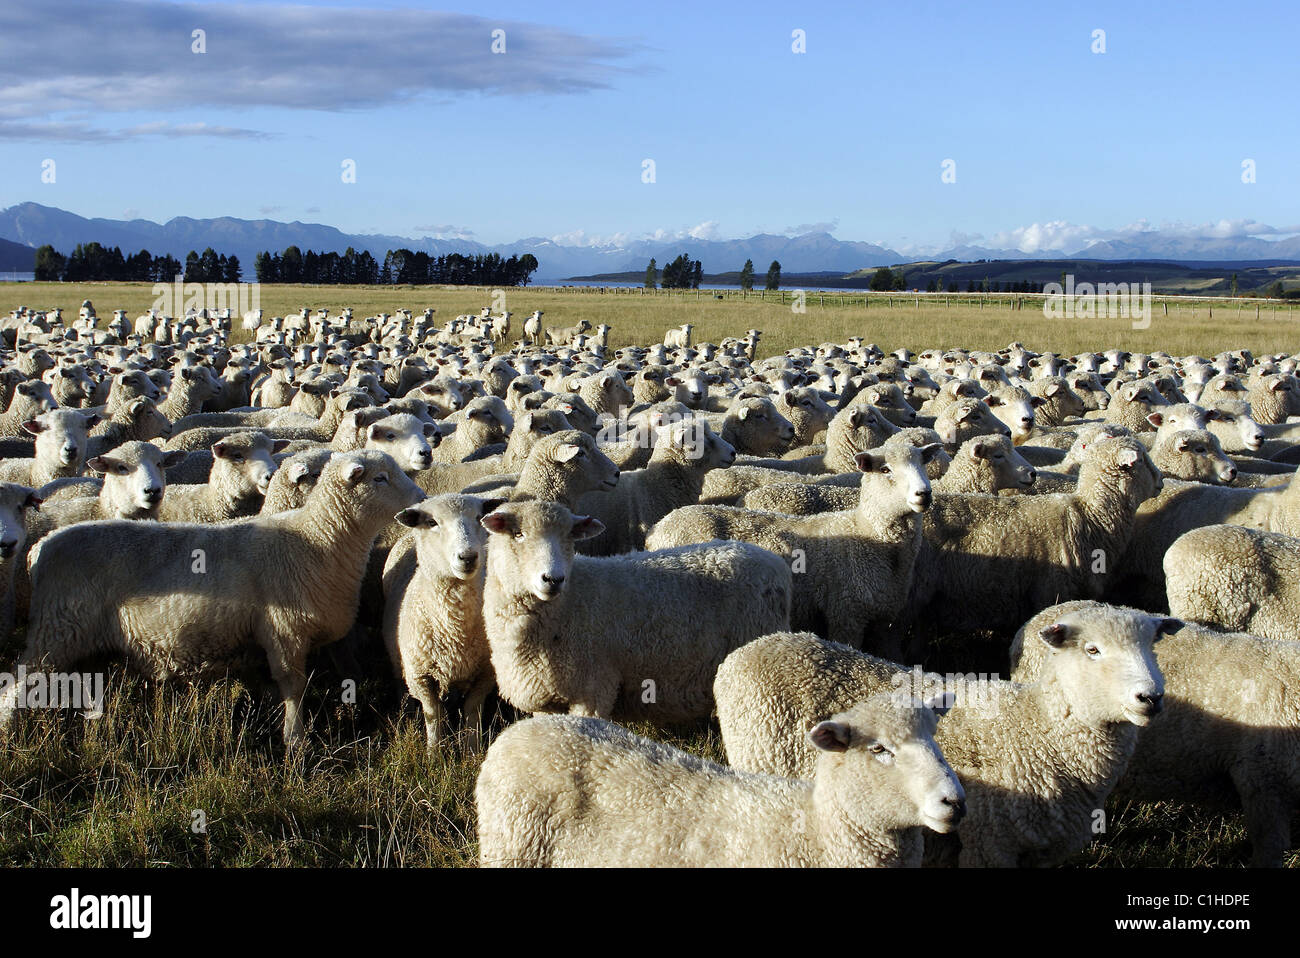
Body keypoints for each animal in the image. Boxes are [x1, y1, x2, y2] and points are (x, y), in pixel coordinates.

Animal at [2, 447, 423, 738]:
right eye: (380, 478)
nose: (420, 499)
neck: (317, 538)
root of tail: (42, 548)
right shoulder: (284, 632)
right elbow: (293, 687)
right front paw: (296, 740)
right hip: (57, 631)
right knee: (17, 688)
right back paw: (10, 734)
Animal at [379, 493, 501, 748]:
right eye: (432, 522)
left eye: (479, 517)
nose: (468, 557)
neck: (455, 630)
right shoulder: (421, 677)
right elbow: (434, 715)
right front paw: (435, 752)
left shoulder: (485, 673)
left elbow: (472, 710)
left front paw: (471, 749)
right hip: (399, 661)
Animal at [475, 496, 780, 722]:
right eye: (518, 534)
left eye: (569, 538)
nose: (553, 579)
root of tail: (771, 561)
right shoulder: (543, 698)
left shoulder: (594, 688)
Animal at [647, 441, 935, 657]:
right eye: (885, 469)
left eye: (923, 464)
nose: (924, 494)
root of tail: (658, 528)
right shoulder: (846, 614)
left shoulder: (886, 622)